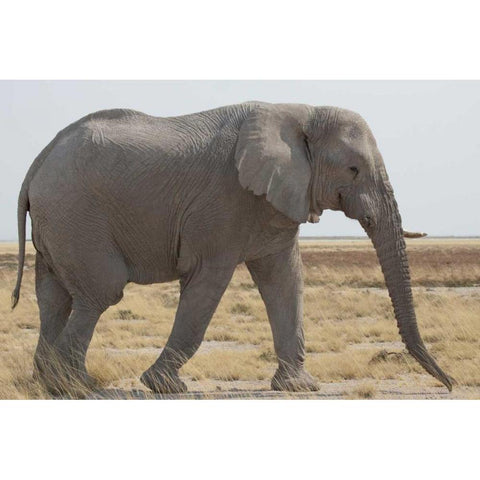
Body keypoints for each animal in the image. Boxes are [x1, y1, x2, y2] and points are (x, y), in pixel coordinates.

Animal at [11, 101, 454, 394]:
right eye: (353, 169)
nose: (449, 384)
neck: (301, 112)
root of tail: (36, 164)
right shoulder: (223, 203)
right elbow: (208, 283)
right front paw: (166, 386)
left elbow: (284, 280)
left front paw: (299, 387)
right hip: (76, 215)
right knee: (99, 294)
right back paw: (76, 387)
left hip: (59, 224)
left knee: (55, 298)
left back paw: (48, 383)